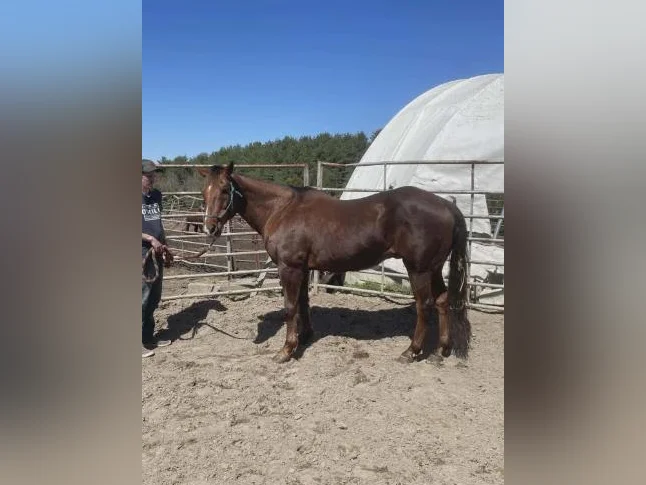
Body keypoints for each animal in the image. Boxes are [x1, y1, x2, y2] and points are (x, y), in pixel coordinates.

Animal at [197, 162, 471, 364]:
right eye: (204, 192)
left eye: (225, 189)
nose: (210, 228)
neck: (282, 209)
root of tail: (446, 205)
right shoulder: (303, 269)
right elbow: (303, 303)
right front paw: (305, 336)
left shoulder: (289, 268)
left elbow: (290, 307)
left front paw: (286, 350)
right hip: (434, 268)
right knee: (442, 301)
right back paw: (441, 350)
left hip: (418, 269)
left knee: (424, 306)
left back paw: (411, 351)